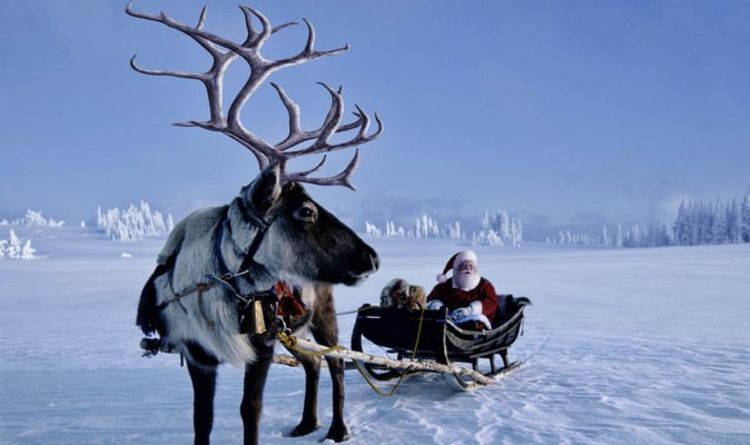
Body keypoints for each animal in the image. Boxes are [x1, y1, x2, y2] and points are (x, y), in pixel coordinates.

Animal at [126, 2, 383, 444]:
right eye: (305, 211)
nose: (372, 258)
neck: (215, 285)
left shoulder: (261, 343)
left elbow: (252, 409)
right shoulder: (198, 354)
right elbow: (202, 419)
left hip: (324, 314)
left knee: (335, 362)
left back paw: (336, 429)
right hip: (294, 330)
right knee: (313, 364)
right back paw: (306, 423)